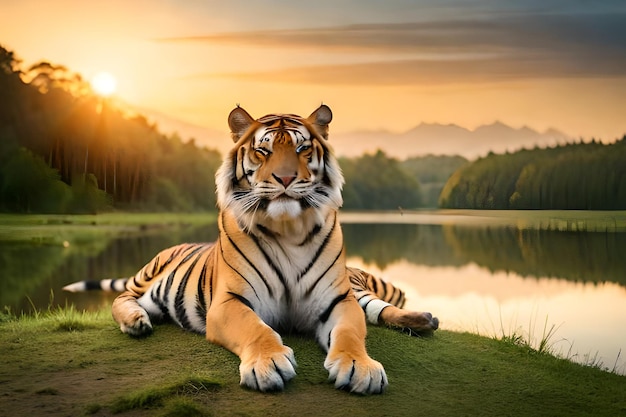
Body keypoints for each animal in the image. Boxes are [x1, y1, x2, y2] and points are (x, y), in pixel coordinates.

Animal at [61, 104, 436, 394]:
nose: (285, 179)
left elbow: (350, 333)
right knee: (122, 297)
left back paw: (424, 320)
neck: (289, 230)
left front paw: (361, 367)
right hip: (148, 273)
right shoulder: (230, 301)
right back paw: (136, 320)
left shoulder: (339, 300)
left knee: (379, 308)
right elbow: (258, 329)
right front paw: (268, 363)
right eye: (263, 150)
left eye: (302, 149)